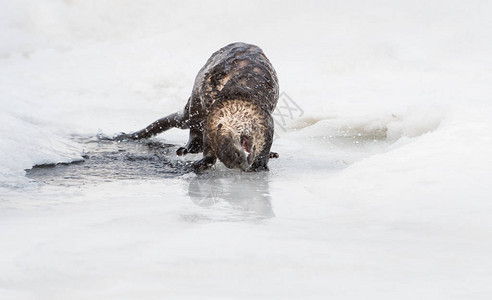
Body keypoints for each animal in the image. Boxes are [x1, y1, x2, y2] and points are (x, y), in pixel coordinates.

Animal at [114, 43, 276, 172]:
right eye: (231, 162)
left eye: (238, 153)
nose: (244, 167)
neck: (240, 98)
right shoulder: (212, 122)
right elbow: (209, 148)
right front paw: (203, 162)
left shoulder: (266, 121)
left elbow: (266, 144)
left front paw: (260, 164)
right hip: (196, 110)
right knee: (194, 131)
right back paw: (188, 148)